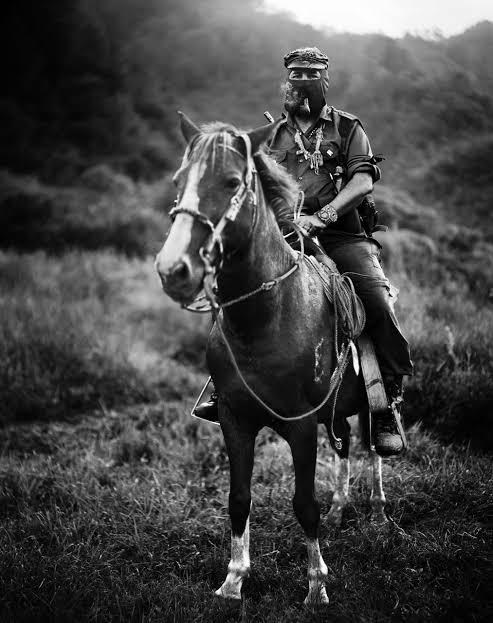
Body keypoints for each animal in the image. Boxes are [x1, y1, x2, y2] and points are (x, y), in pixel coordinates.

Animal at [155, 114, 388, 608]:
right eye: (179, 181)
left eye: (231, 182)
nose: (173, 269)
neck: (266, 316)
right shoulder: (234, 420)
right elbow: (239, 498)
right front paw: (233, 580)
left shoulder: (299, 425)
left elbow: (304, 504)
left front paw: (317, 585)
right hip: (335, 410)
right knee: (343, 447)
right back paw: (341, 510)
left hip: (371, 404)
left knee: (376, 447)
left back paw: (378, 514)